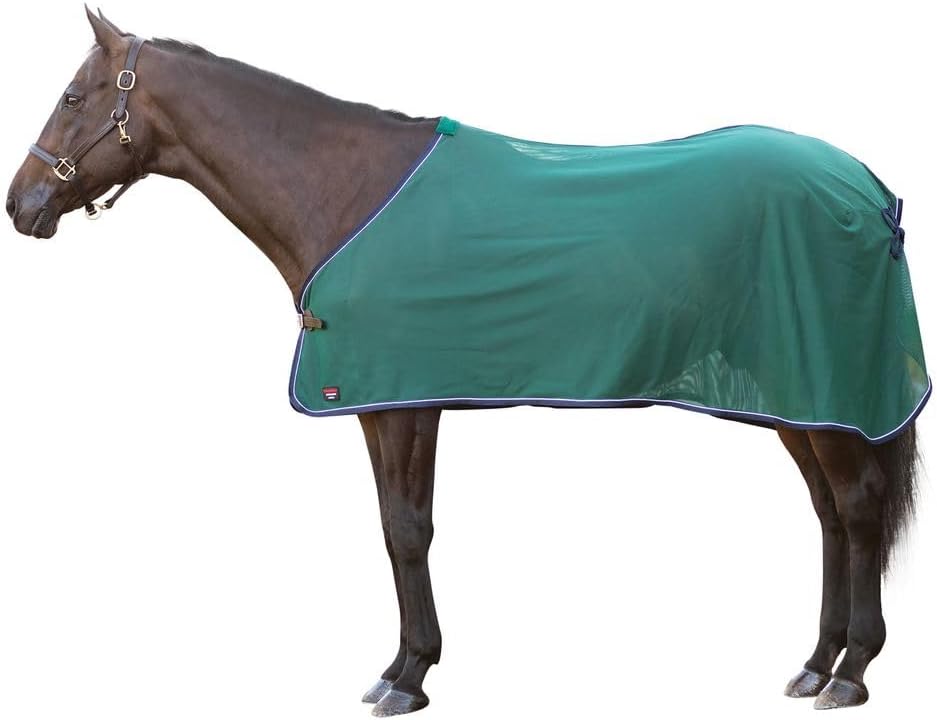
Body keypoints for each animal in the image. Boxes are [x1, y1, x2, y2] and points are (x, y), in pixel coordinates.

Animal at [6, 9, 926, 716]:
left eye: (72, 96)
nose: (22, 204)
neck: (344, 195)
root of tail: (867, 189)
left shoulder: (402, 401)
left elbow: (407, 530)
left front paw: (407, 677)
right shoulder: (384, 403)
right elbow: (393, 527)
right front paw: (404, 666)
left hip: (825, 397)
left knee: (856, 508)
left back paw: (851, 672)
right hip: (798, 397)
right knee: (830, 515)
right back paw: (813, 663)